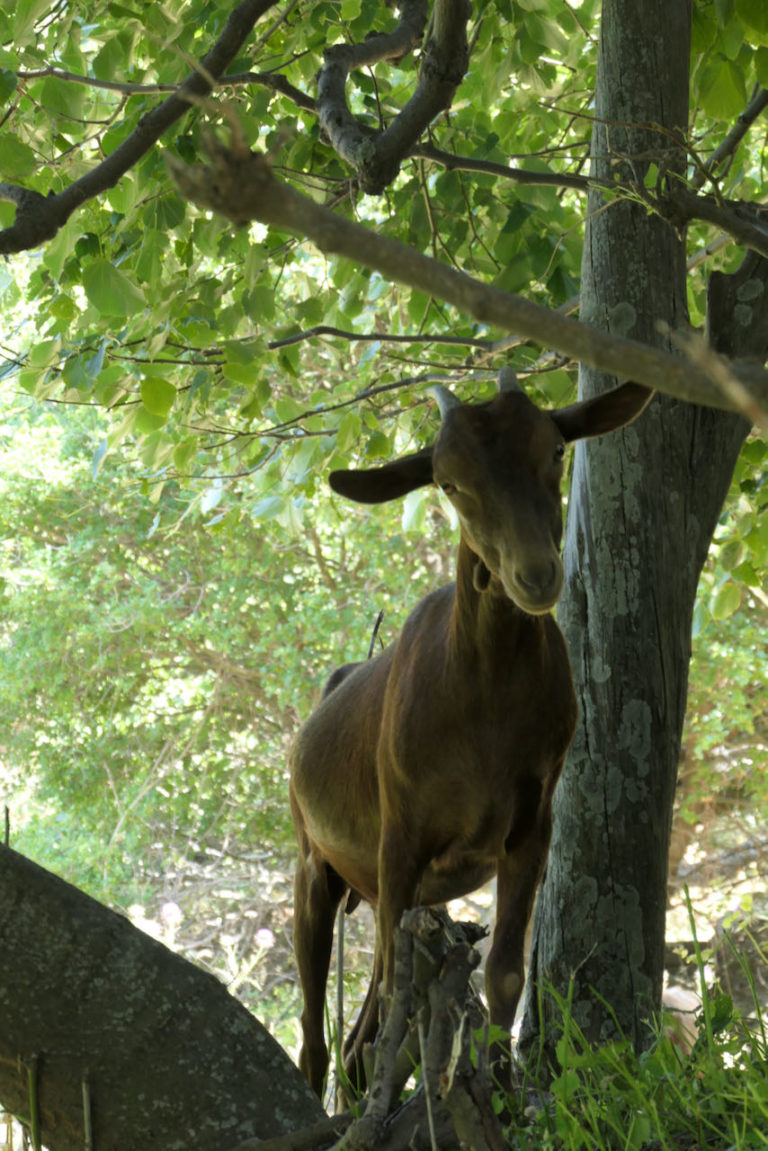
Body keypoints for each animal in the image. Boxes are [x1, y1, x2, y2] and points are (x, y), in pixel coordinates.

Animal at [287, 372, 654, 1091]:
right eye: (448, 482)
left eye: (556, 450)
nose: (535, 575)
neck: (483, 708)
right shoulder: (400, 837)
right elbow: (393, 1001)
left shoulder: (530, 827)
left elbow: (505, 975)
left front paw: (501, 1085)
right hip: (316, 862)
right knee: (319, 1036)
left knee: (359, 1036)